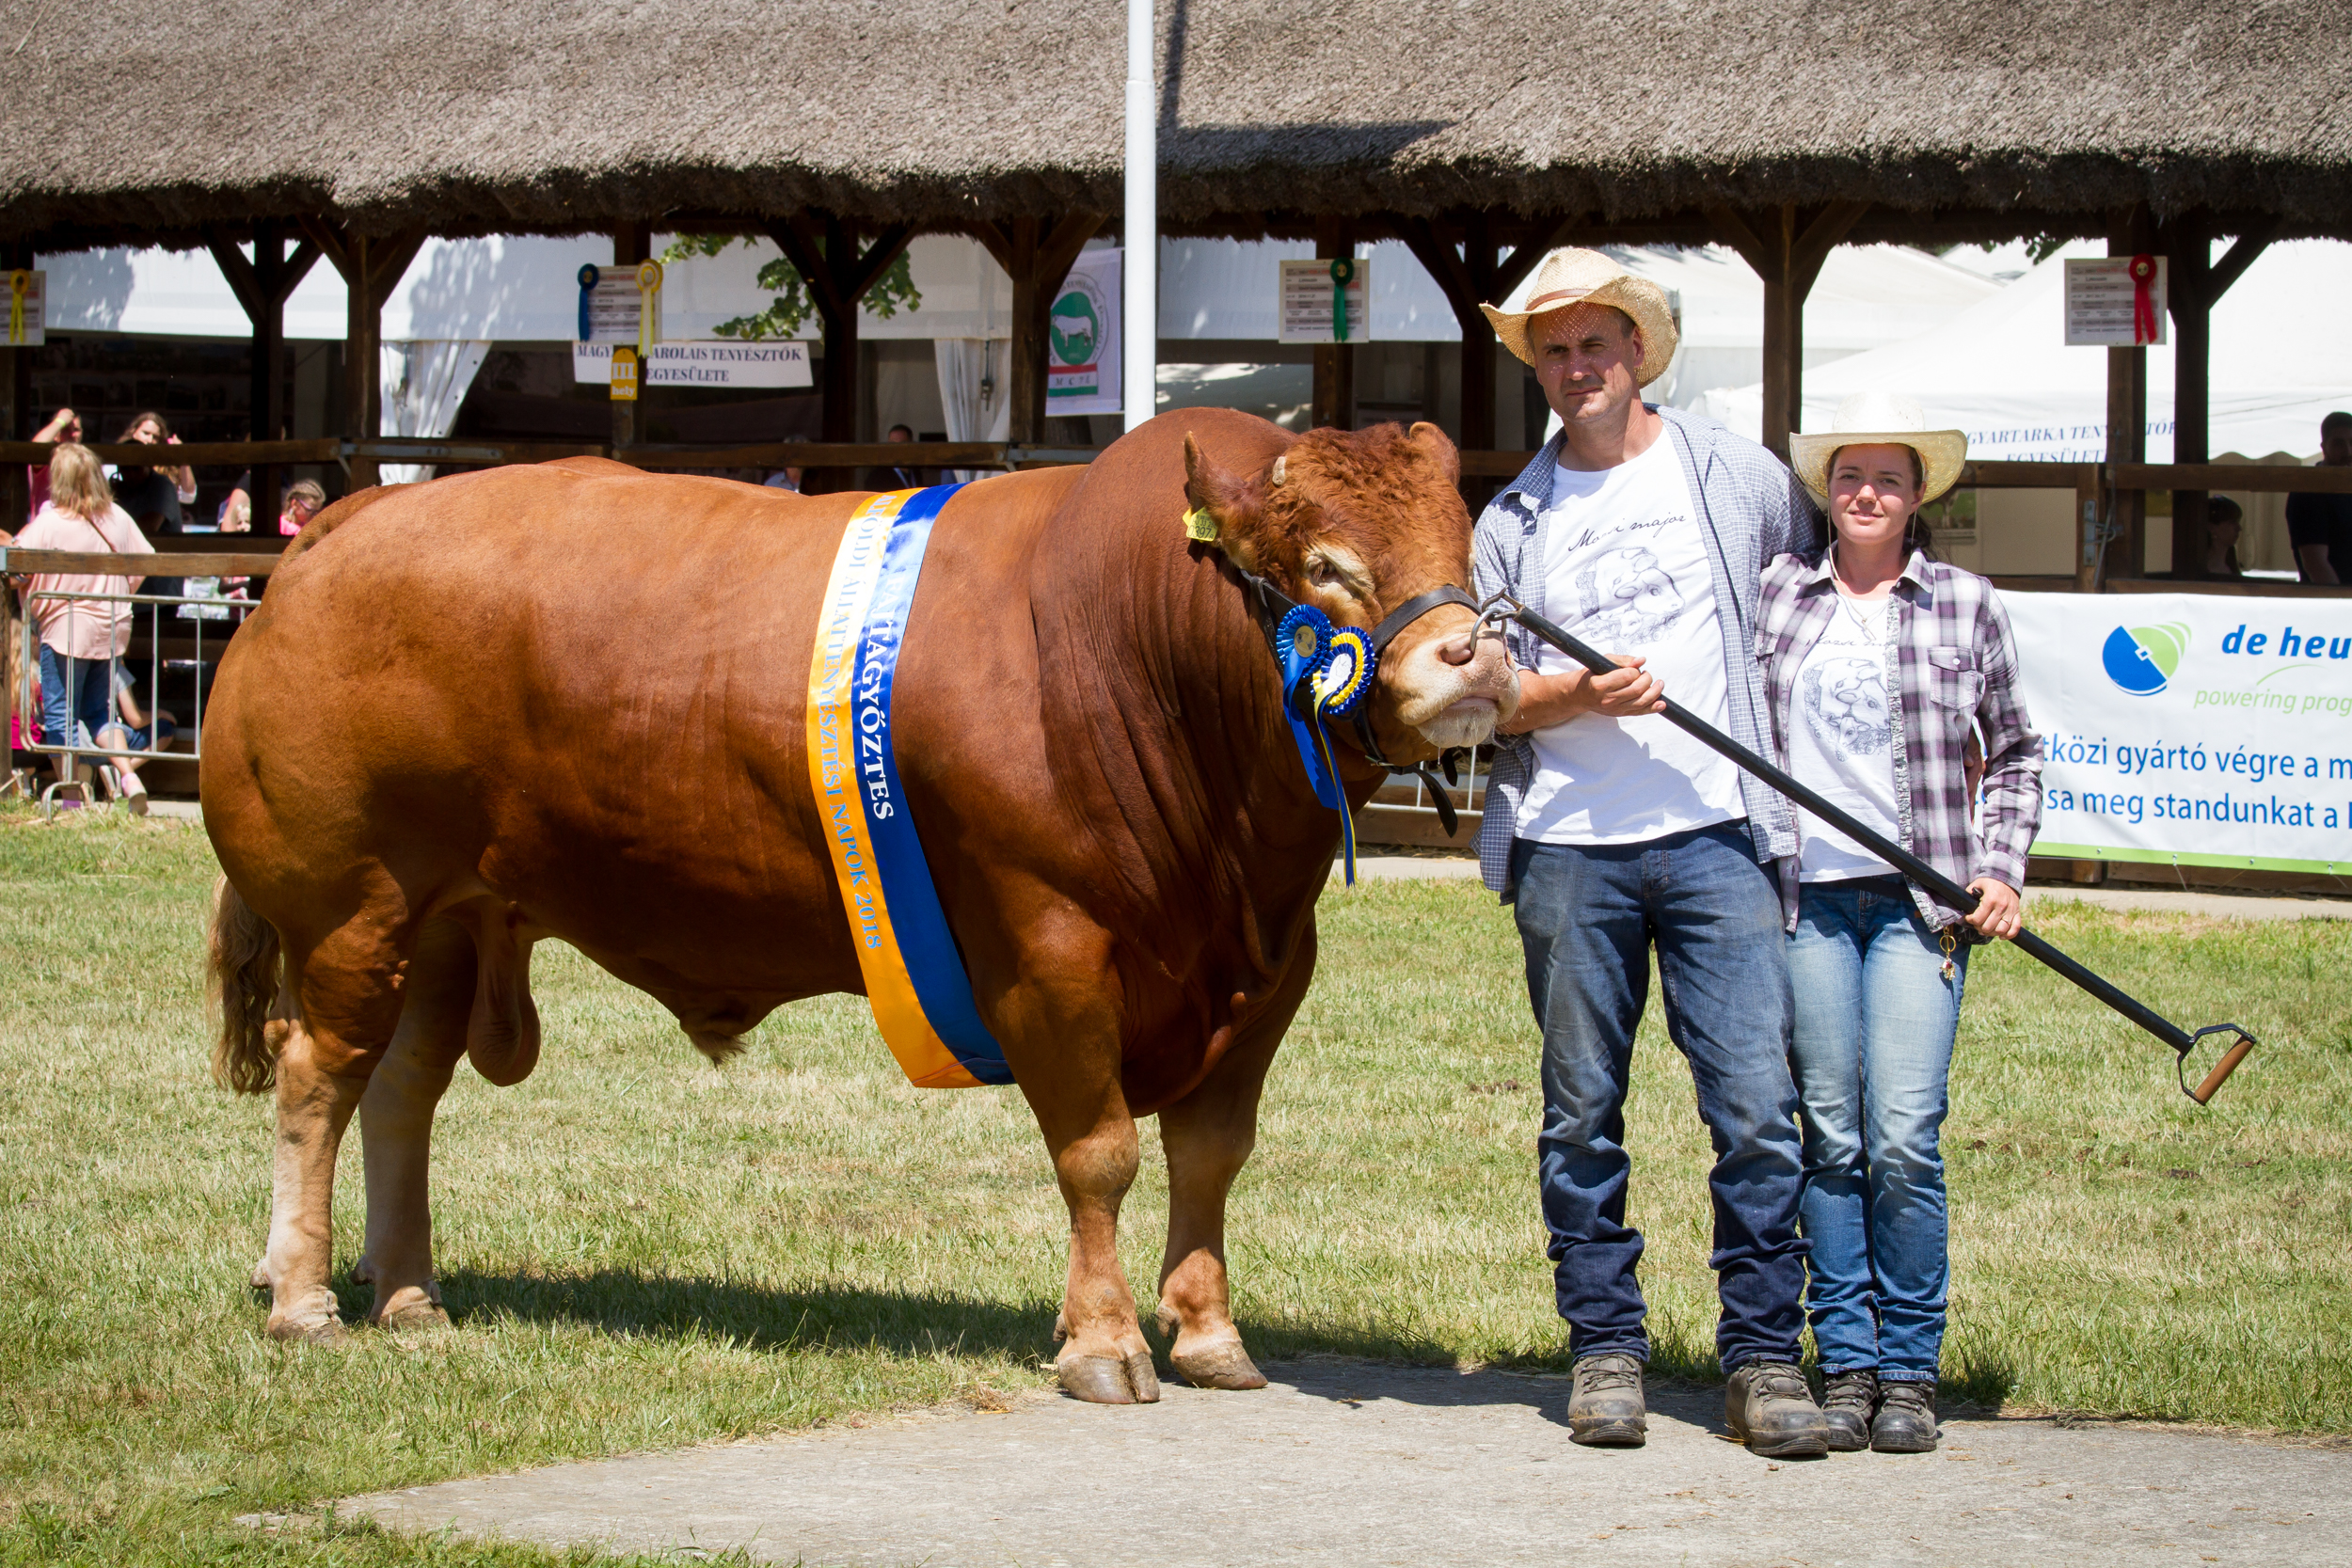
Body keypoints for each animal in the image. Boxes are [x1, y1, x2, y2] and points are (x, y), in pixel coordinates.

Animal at [207, 411, 1524, 1401]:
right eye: (1326, 566)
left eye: (1468, 546)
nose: (1474, 661)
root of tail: (350, 524)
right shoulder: (1045, 948)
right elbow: (1098, 1152)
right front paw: (1103, 1342)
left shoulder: (1269, 968)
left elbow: (1210, 1152)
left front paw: (1206, 1332)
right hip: (352, 908)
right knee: (317, 1077)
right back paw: (306, 1298)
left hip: (442, 922)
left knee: (400, 1090)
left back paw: (411, 1296)